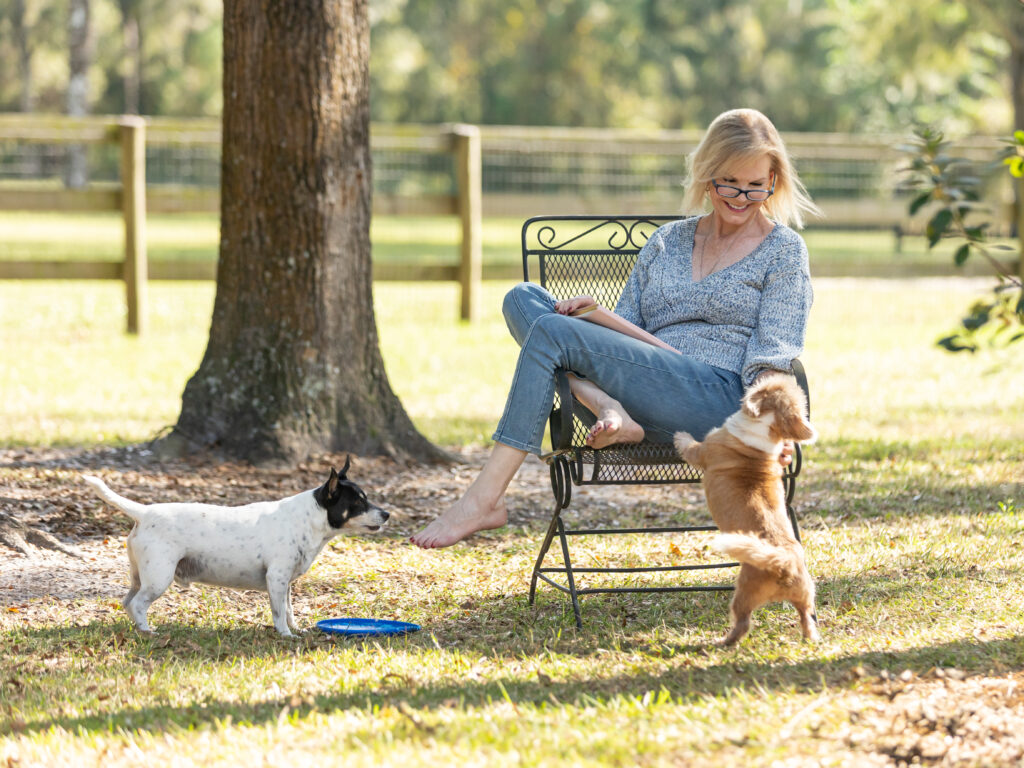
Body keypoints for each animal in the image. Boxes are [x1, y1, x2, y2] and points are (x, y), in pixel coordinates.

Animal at [82, 460, 387, 638]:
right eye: (358, 502)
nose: (386, 514)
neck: (308, 518)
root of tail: (144, 513)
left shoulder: (285, 583)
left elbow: (289, 610)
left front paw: (296, 628)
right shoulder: (276, 579)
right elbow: (279, 613)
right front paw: (286, 636)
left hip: (139, 577)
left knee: (127, 602)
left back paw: (138, 628)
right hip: (159, 578)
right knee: (138, 604)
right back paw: (147, 631)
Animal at [675, 376, 819, 647]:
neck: (766, 428)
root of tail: (783, 564)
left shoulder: (702, 451)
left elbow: (689, 445)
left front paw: (680, 435)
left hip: (743, 593)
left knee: (742, 623)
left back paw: (723, 642)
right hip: (806, 594)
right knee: (806, 617)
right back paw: (810, 638)